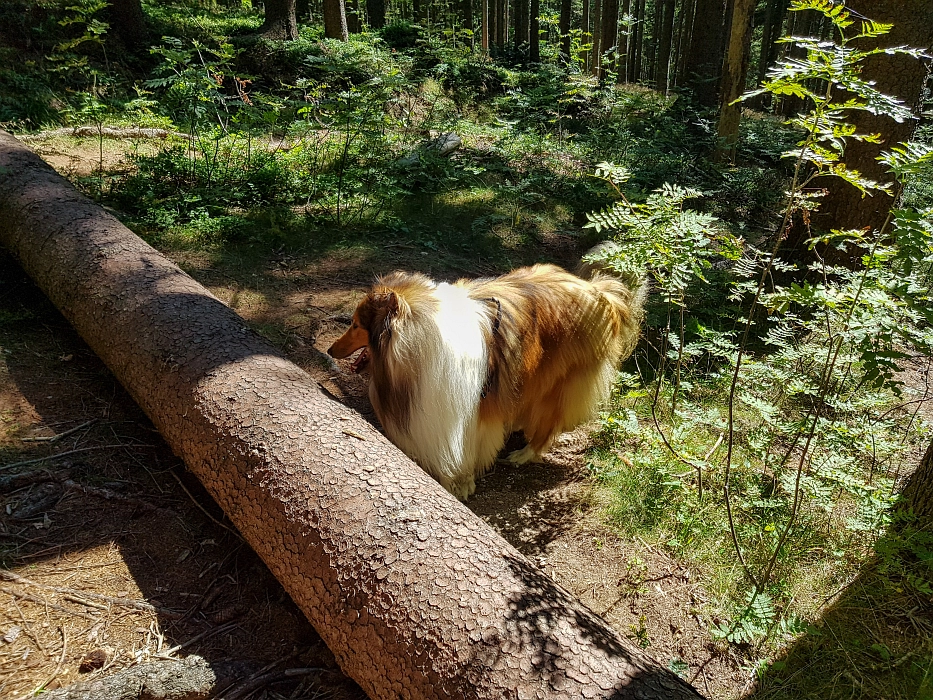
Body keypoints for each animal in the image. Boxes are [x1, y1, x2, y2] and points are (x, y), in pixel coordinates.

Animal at [328, 262, 640, 498]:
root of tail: (599, 292)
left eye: (356, 325)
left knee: (547, 425)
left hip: (558, 382)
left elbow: (468, 448)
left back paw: (524, 454)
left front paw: (462, 482)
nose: (330, 350)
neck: (416, 338)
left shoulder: (474, 406)